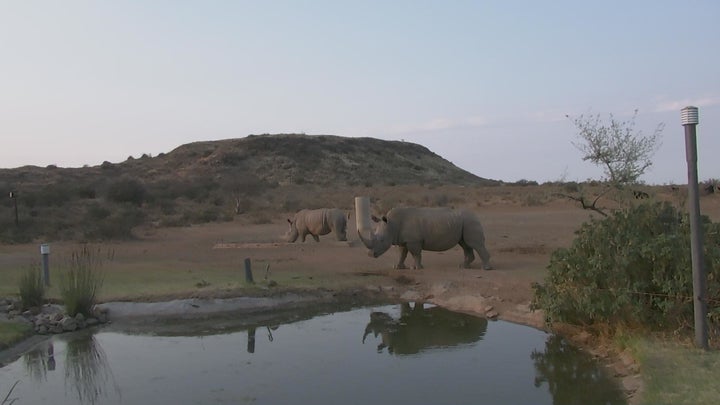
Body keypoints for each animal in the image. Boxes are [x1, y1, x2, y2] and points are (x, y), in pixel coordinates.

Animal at [358, 207, 492, 270]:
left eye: (381, 240)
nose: (370, 255)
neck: (392, 224)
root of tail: (476, 215)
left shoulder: (414, 241)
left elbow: (416, 254)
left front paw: (416, 268)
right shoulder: (403, 240)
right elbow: (402, 254)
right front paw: (397, 267)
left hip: (470, 221)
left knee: (474, 244)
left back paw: (485, 268)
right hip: (464, 222)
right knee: (465, 244)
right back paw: (463, 266)